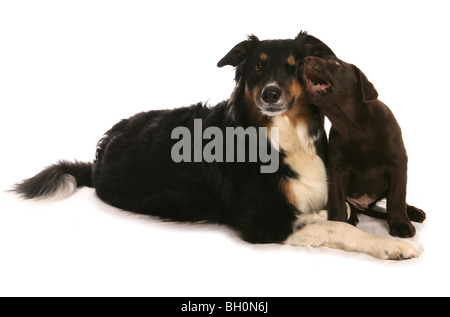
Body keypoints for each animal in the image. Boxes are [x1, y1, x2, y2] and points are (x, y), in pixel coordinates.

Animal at [15, 31, 420, 260]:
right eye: (257, 67)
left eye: (293, 66)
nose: (270, 94)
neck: (283, 135)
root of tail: (98, 156)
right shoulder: (263, 222)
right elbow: (341, 228)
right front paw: (393, 246)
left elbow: (337, 213)